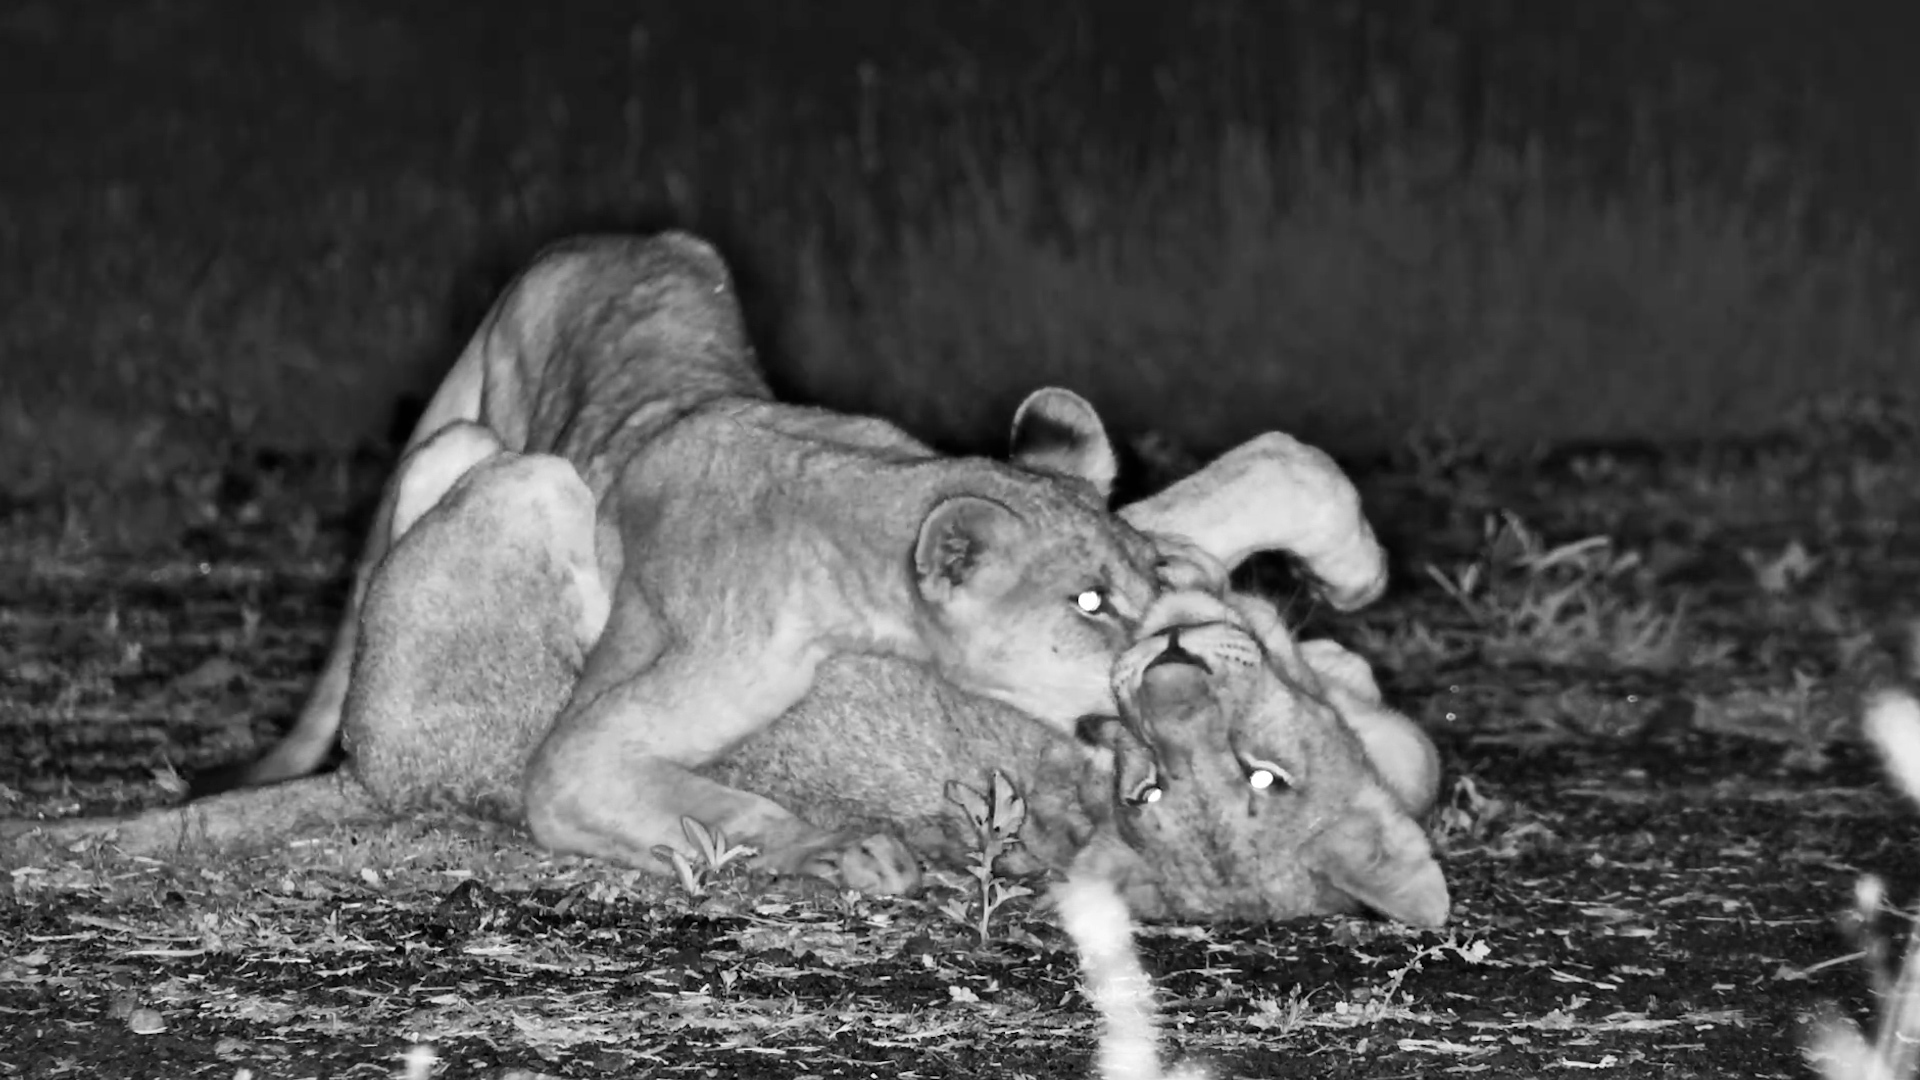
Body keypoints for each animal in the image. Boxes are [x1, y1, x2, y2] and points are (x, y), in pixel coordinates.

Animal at [20, 231, 1393, 888]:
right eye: (1088, 604)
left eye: (1135, 589)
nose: (1167, 659)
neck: (859, 500)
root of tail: (592, 240)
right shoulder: (608, 739)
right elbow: (677, 793)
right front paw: (833, 851)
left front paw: (1349, 573)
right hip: (510, 465)